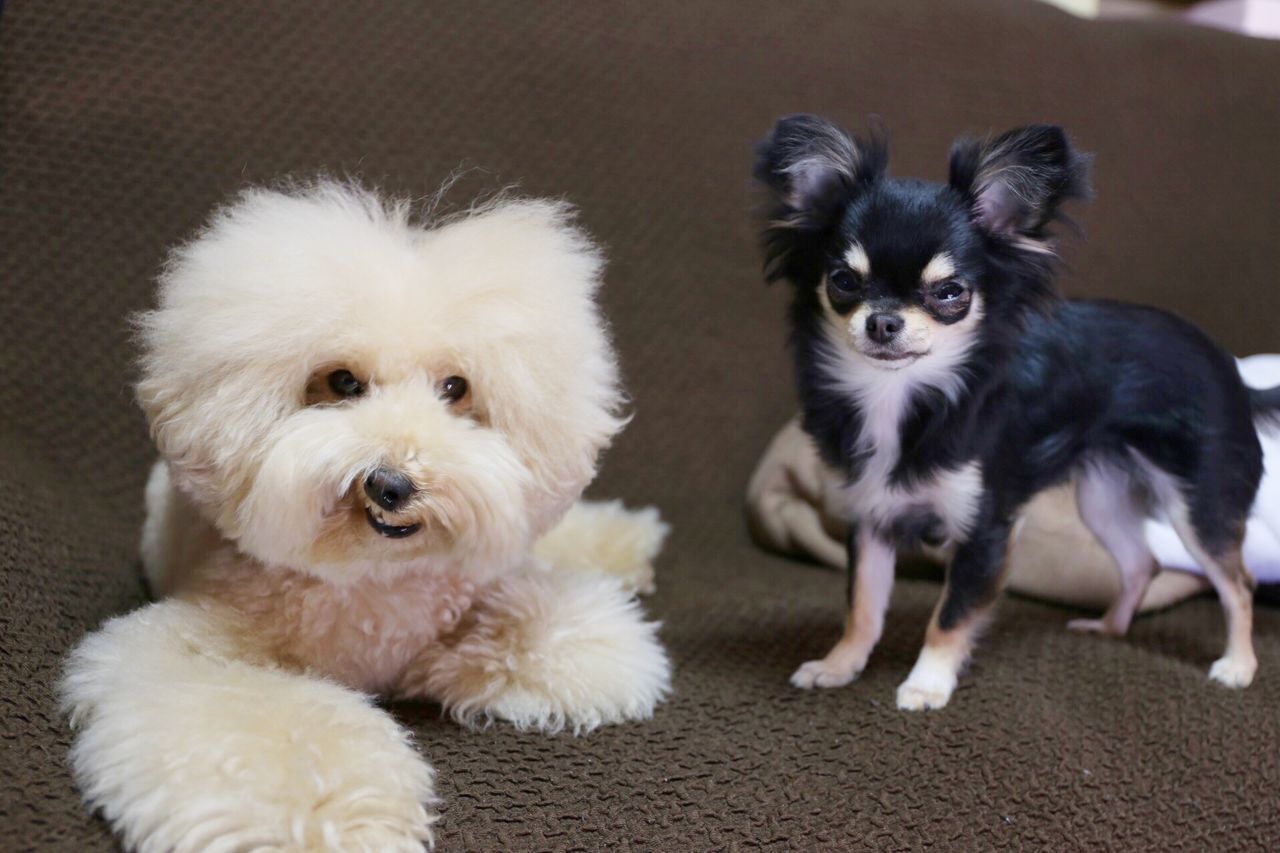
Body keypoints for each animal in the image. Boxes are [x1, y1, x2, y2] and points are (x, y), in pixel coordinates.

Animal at [60, 183, 675, 845]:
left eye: (455, 388)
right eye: (342, 382)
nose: (392, 485)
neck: (372, 580)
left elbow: (539, 625)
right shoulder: (197, 653)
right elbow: (260, 727)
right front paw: (323, 820)